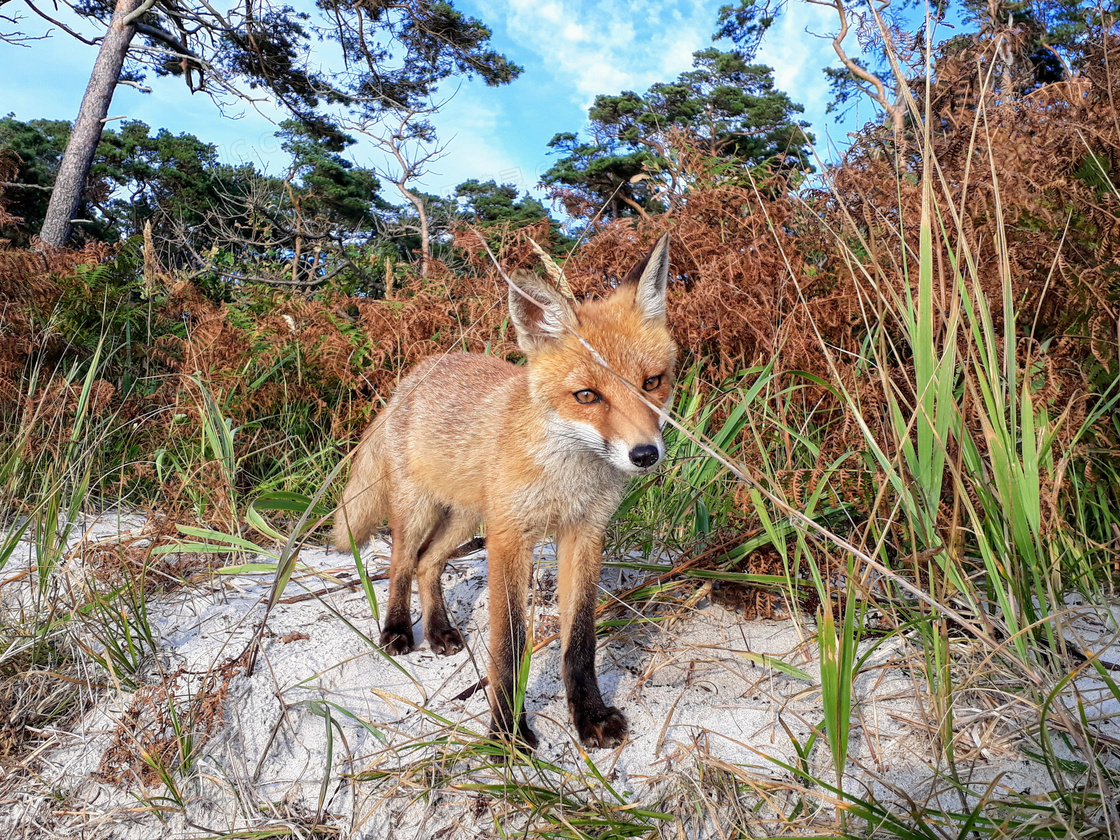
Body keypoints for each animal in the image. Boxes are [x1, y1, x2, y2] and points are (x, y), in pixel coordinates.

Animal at [331, 235, 676, 748]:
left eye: (652, 383)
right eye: (587, 396)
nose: (645, 454)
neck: (566, 477)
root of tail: (417, 373)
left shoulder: (584, 534)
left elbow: (580, 641)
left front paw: (589, 716)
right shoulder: (511, 538)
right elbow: (508, 645)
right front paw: (506, 733)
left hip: (466, 519)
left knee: (428, 564)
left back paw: (439, 631)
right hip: (420, 512)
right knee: (400, 563)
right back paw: (397, 631)